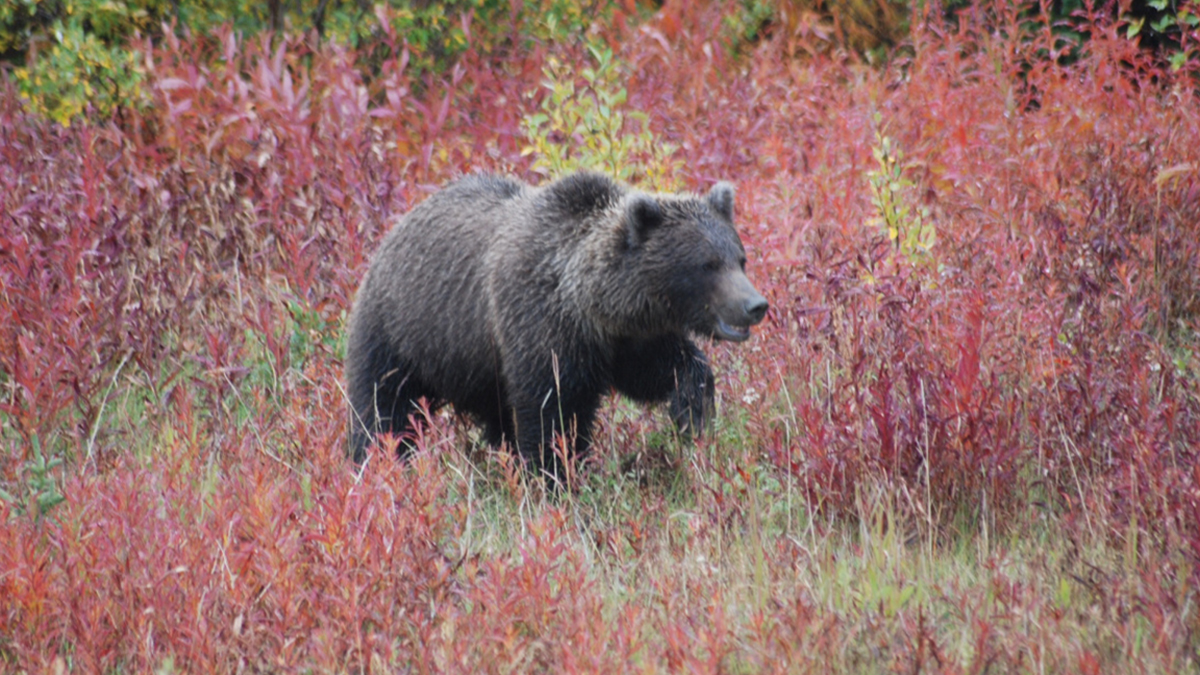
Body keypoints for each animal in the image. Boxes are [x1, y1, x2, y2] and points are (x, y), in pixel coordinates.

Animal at [344, 171, 768, 482]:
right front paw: (556, 476)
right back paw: (374, 466)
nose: (755, 305)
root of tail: (393, 231)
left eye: (740, 258)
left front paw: (692, 414)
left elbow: (666, 369)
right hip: (402, 333)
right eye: (707, 265)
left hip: (479, 367)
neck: (590, 307)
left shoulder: (627, 340)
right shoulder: (539, 327)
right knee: (383, 409)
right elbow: (551, 413)